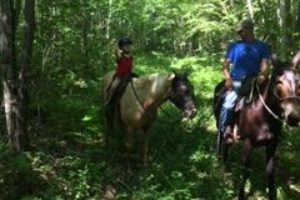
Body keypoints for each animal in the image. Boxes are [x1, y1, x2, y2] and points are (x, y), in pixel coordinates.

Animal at [213, 54, 300, 199]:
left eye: (299, 82)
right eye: (279, 82)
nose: (293, 117)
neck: (263, 115)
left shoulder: (272, 145)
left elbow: (270, 171)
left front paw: (271, 195)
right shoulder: (248, 143)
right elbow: (246, 170)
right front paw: (240, 195)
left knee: (227, 143)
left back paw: (225, 163)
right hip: (219, 124)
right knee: (220, 141)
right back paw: (218, 163)